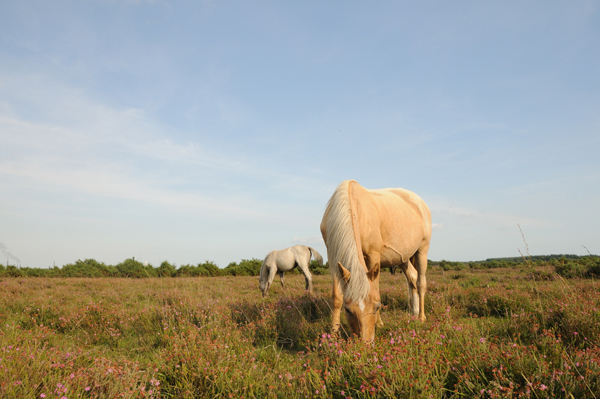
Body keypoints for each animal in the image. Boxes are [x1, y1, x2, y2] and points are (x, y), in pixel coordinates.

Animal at [322, 180, 428, 340]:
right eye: (347, 310)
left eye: (377, 306)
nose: (365, 342)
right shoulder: (333, 255)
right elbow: (336, 297)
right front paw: (333, 335)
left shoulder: (373, 255)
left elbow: (376, 288)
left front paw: (380, 324)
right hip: (403, 258)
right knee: (413, 277)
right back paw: (414, 313)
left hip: (422, 249)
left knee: (421, 282)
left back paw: (421, 317)